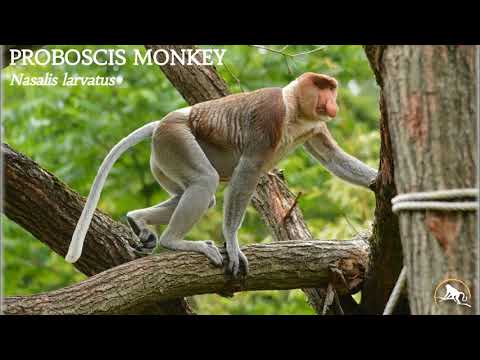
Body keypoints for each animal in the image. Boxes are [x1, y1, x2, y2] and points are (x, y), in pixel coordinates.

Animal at [65, 71, 376, 278]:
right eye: (322, 87)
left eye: (332, 88)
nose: (333, 101)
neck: (294, 108)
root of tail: (163, 122)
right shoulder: (270, 115)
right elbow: (247, 172)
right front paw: (233, 243)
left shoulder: (314, 127)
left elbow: (332, 158)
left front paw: (376, 182)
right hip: (175, 140)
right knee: (205, 182)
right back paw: (173, 241)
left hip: (163, 159)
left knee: (193, 193)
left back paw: (137, 219)